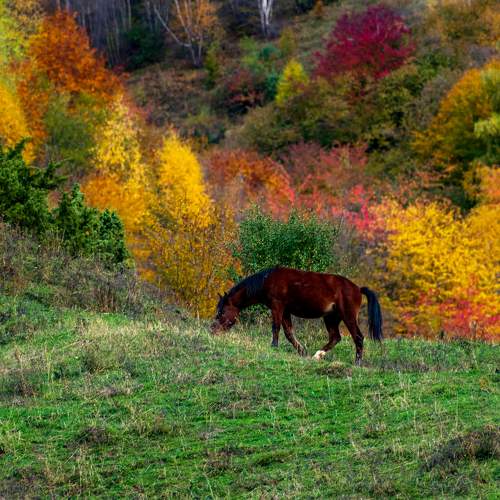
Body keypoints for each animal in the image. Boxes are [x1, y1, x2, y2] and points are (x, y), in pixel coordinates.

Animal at [211, 267, 383, 365]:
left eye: (222, 312)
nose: (213, 331)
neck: (267, 280)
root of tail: (358, 289)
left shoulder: (277, 306)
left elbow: (276, 327)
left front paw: (274, 346)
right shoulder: (285, 310)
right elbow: (288, 332)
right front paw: (302, 351)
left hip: (348, 316)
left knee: (358, 337)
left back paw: (357, 362)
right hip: (331, 318)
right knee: (335, 337)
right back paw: (317, 355)